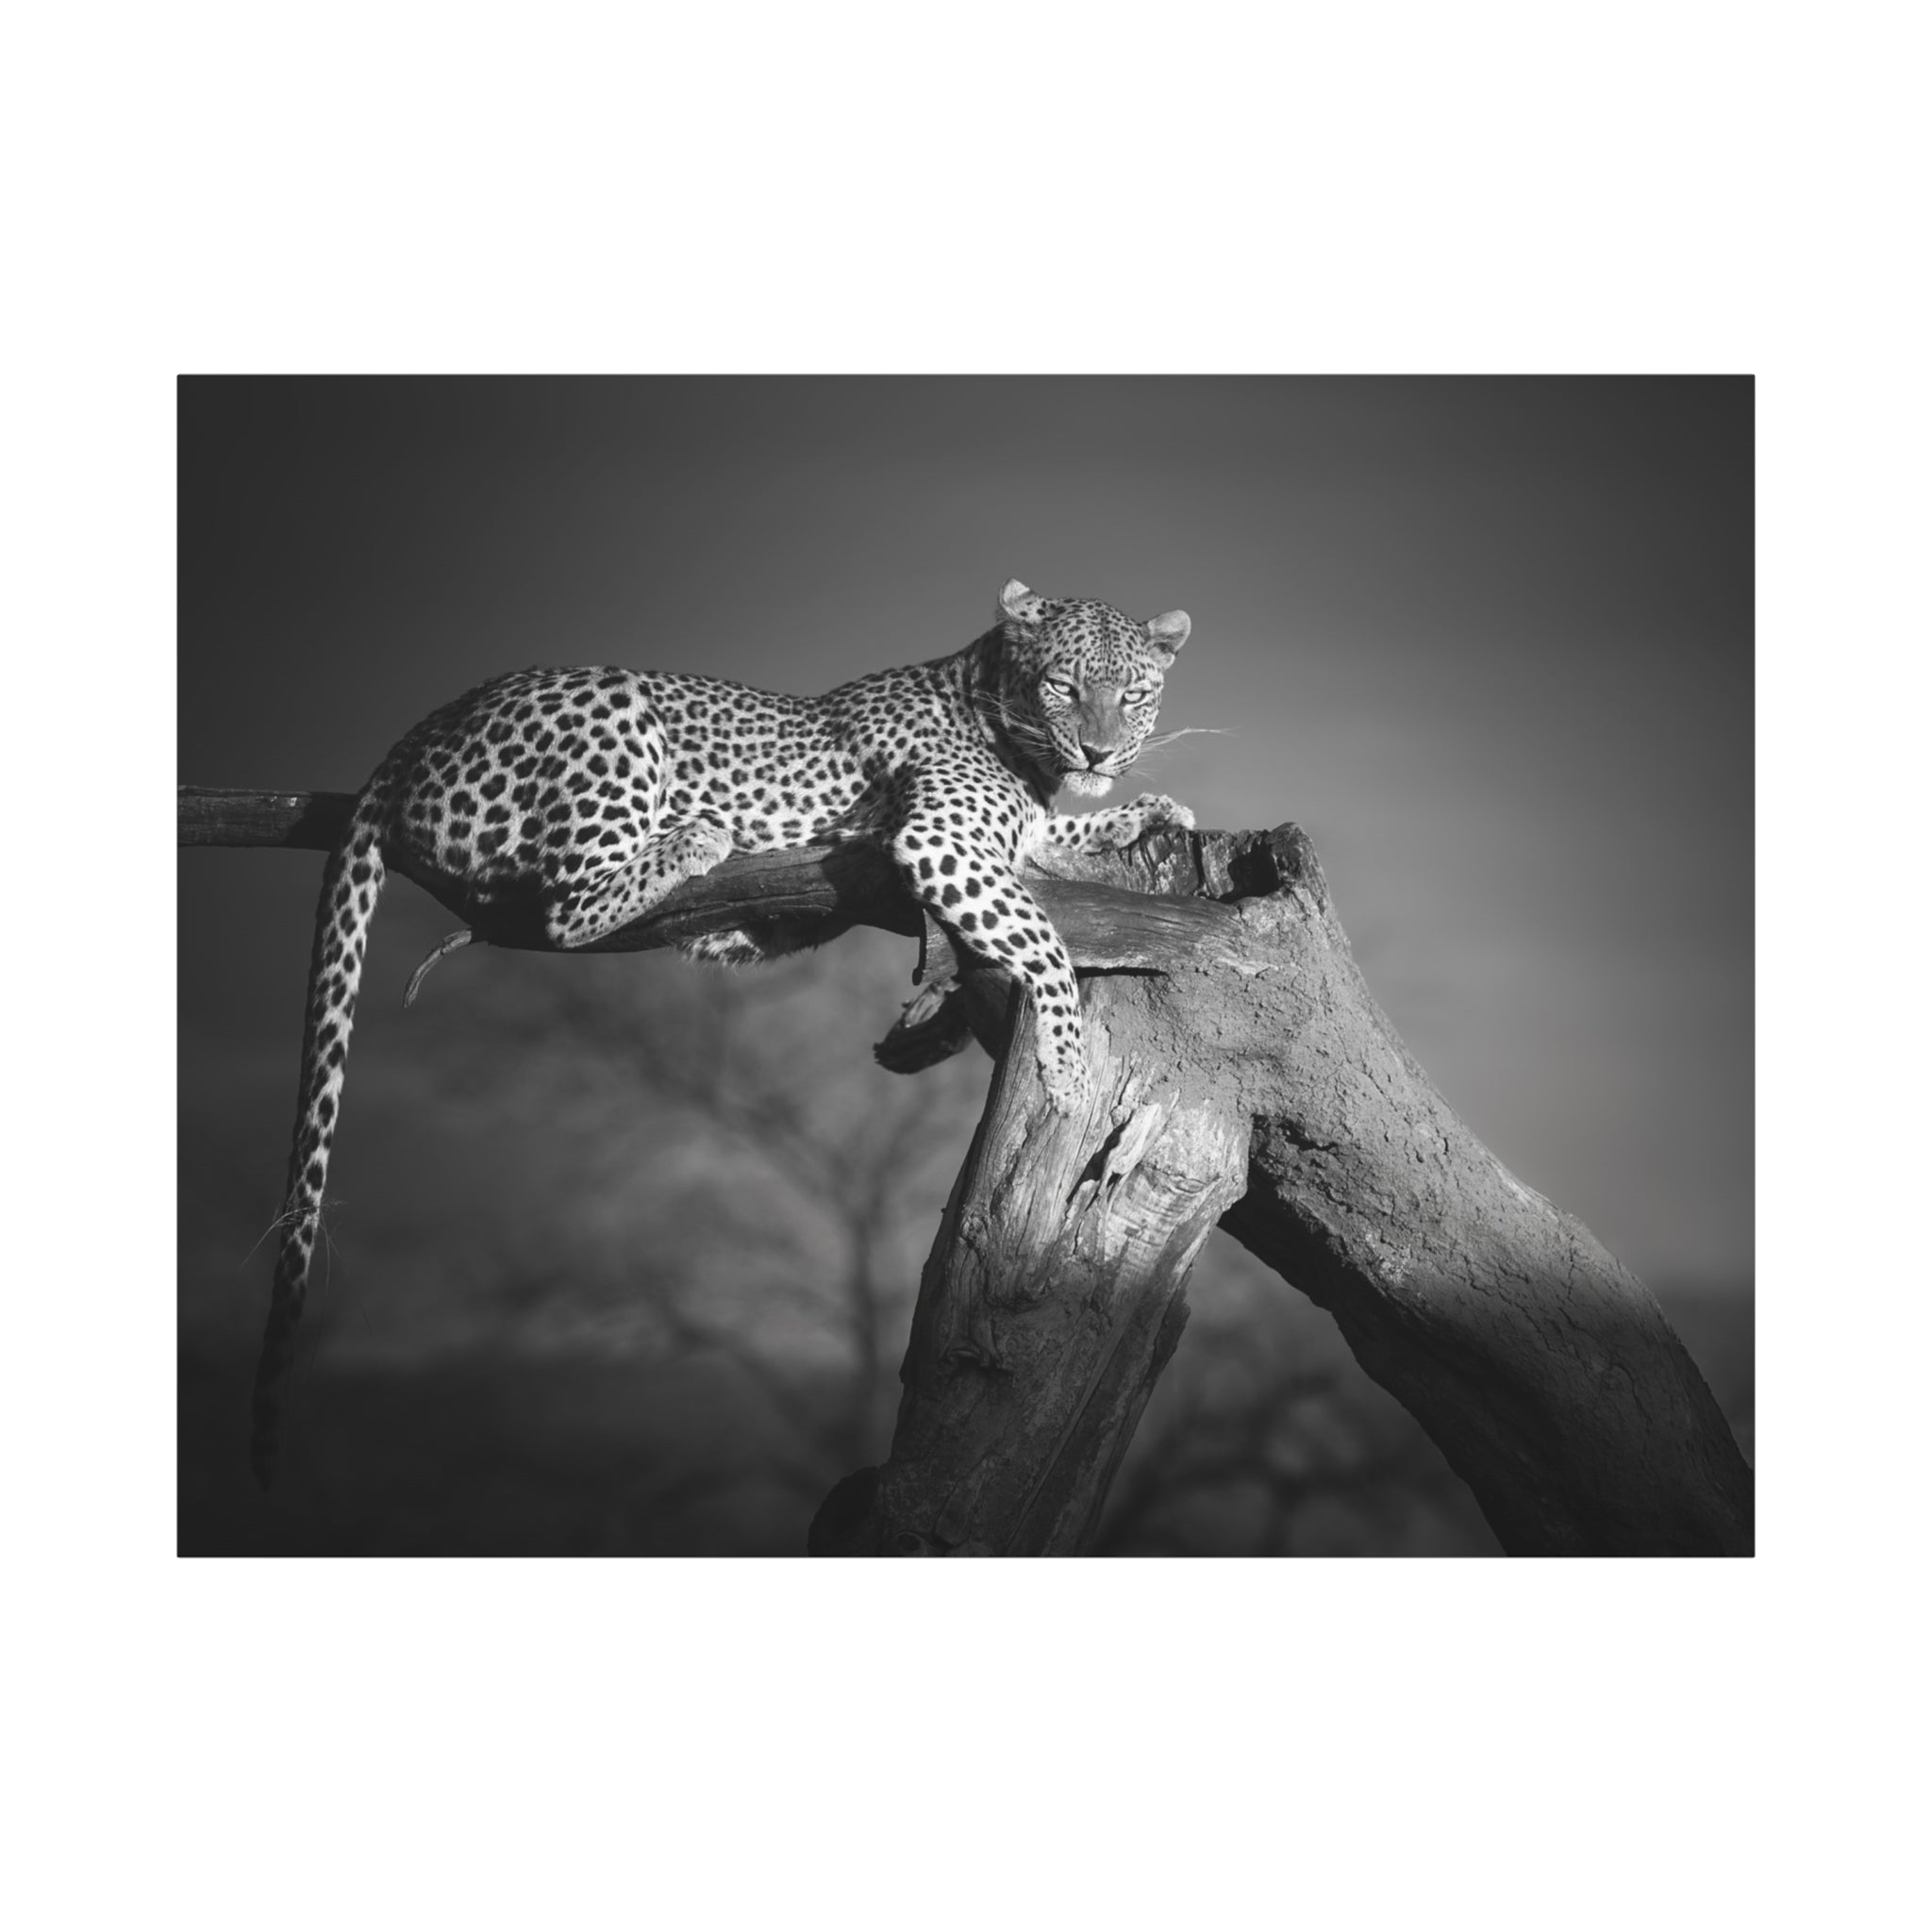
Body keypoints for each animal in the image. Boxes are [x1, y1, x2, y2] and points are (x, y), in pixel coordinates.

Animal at [250, 577, 1194, 1484]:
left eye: (1135, 694)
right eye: (1065, 686)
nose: (1101, 752)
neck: (1008, 725)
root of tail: (424, 727)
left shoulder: (1005, 839)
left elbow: (1052, 848)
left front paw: (1144, 814)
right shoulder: (941, 839)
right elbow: (1046, 938)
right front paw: (1068, 1068)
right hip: (613, 713)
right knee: (564, 906)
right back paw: (695, 837)